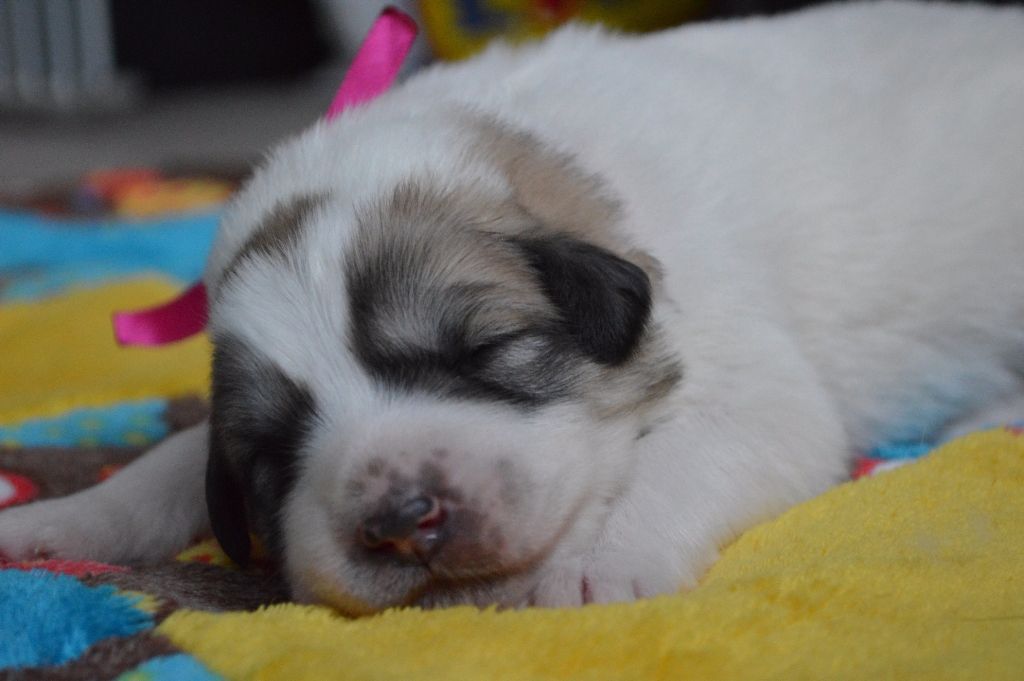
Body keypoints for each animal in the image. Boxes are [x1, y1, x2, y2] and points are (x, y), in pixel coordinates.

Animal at [1, 1, 1022, 615]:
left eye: (482, 352)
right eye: (271, 450)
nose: (401, 517)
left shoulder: (752, 379)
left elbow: (685, 460)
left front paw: (595, 568)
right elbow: (170, 462)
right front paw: (57, 523)